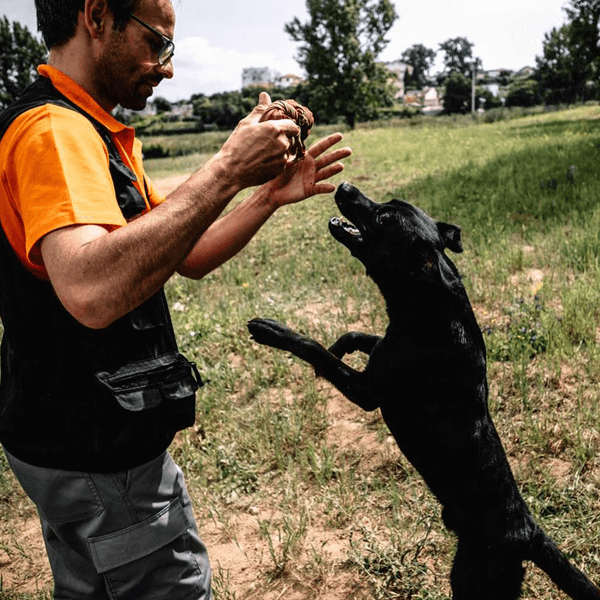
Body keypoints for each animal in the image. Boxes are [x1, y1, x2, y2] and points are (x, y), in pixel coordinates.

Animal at [246, 183, 596, 600]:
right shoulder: (384, 349)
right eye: (386, 203)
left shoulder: (368, 391)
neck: (427, 298)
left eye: (383, 217)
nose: (345, 186)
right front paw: (339, 345)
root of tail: (528, 531)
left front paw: (274, 331)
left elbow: (313, 347)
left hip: (474, 577)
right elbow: (359, 336)